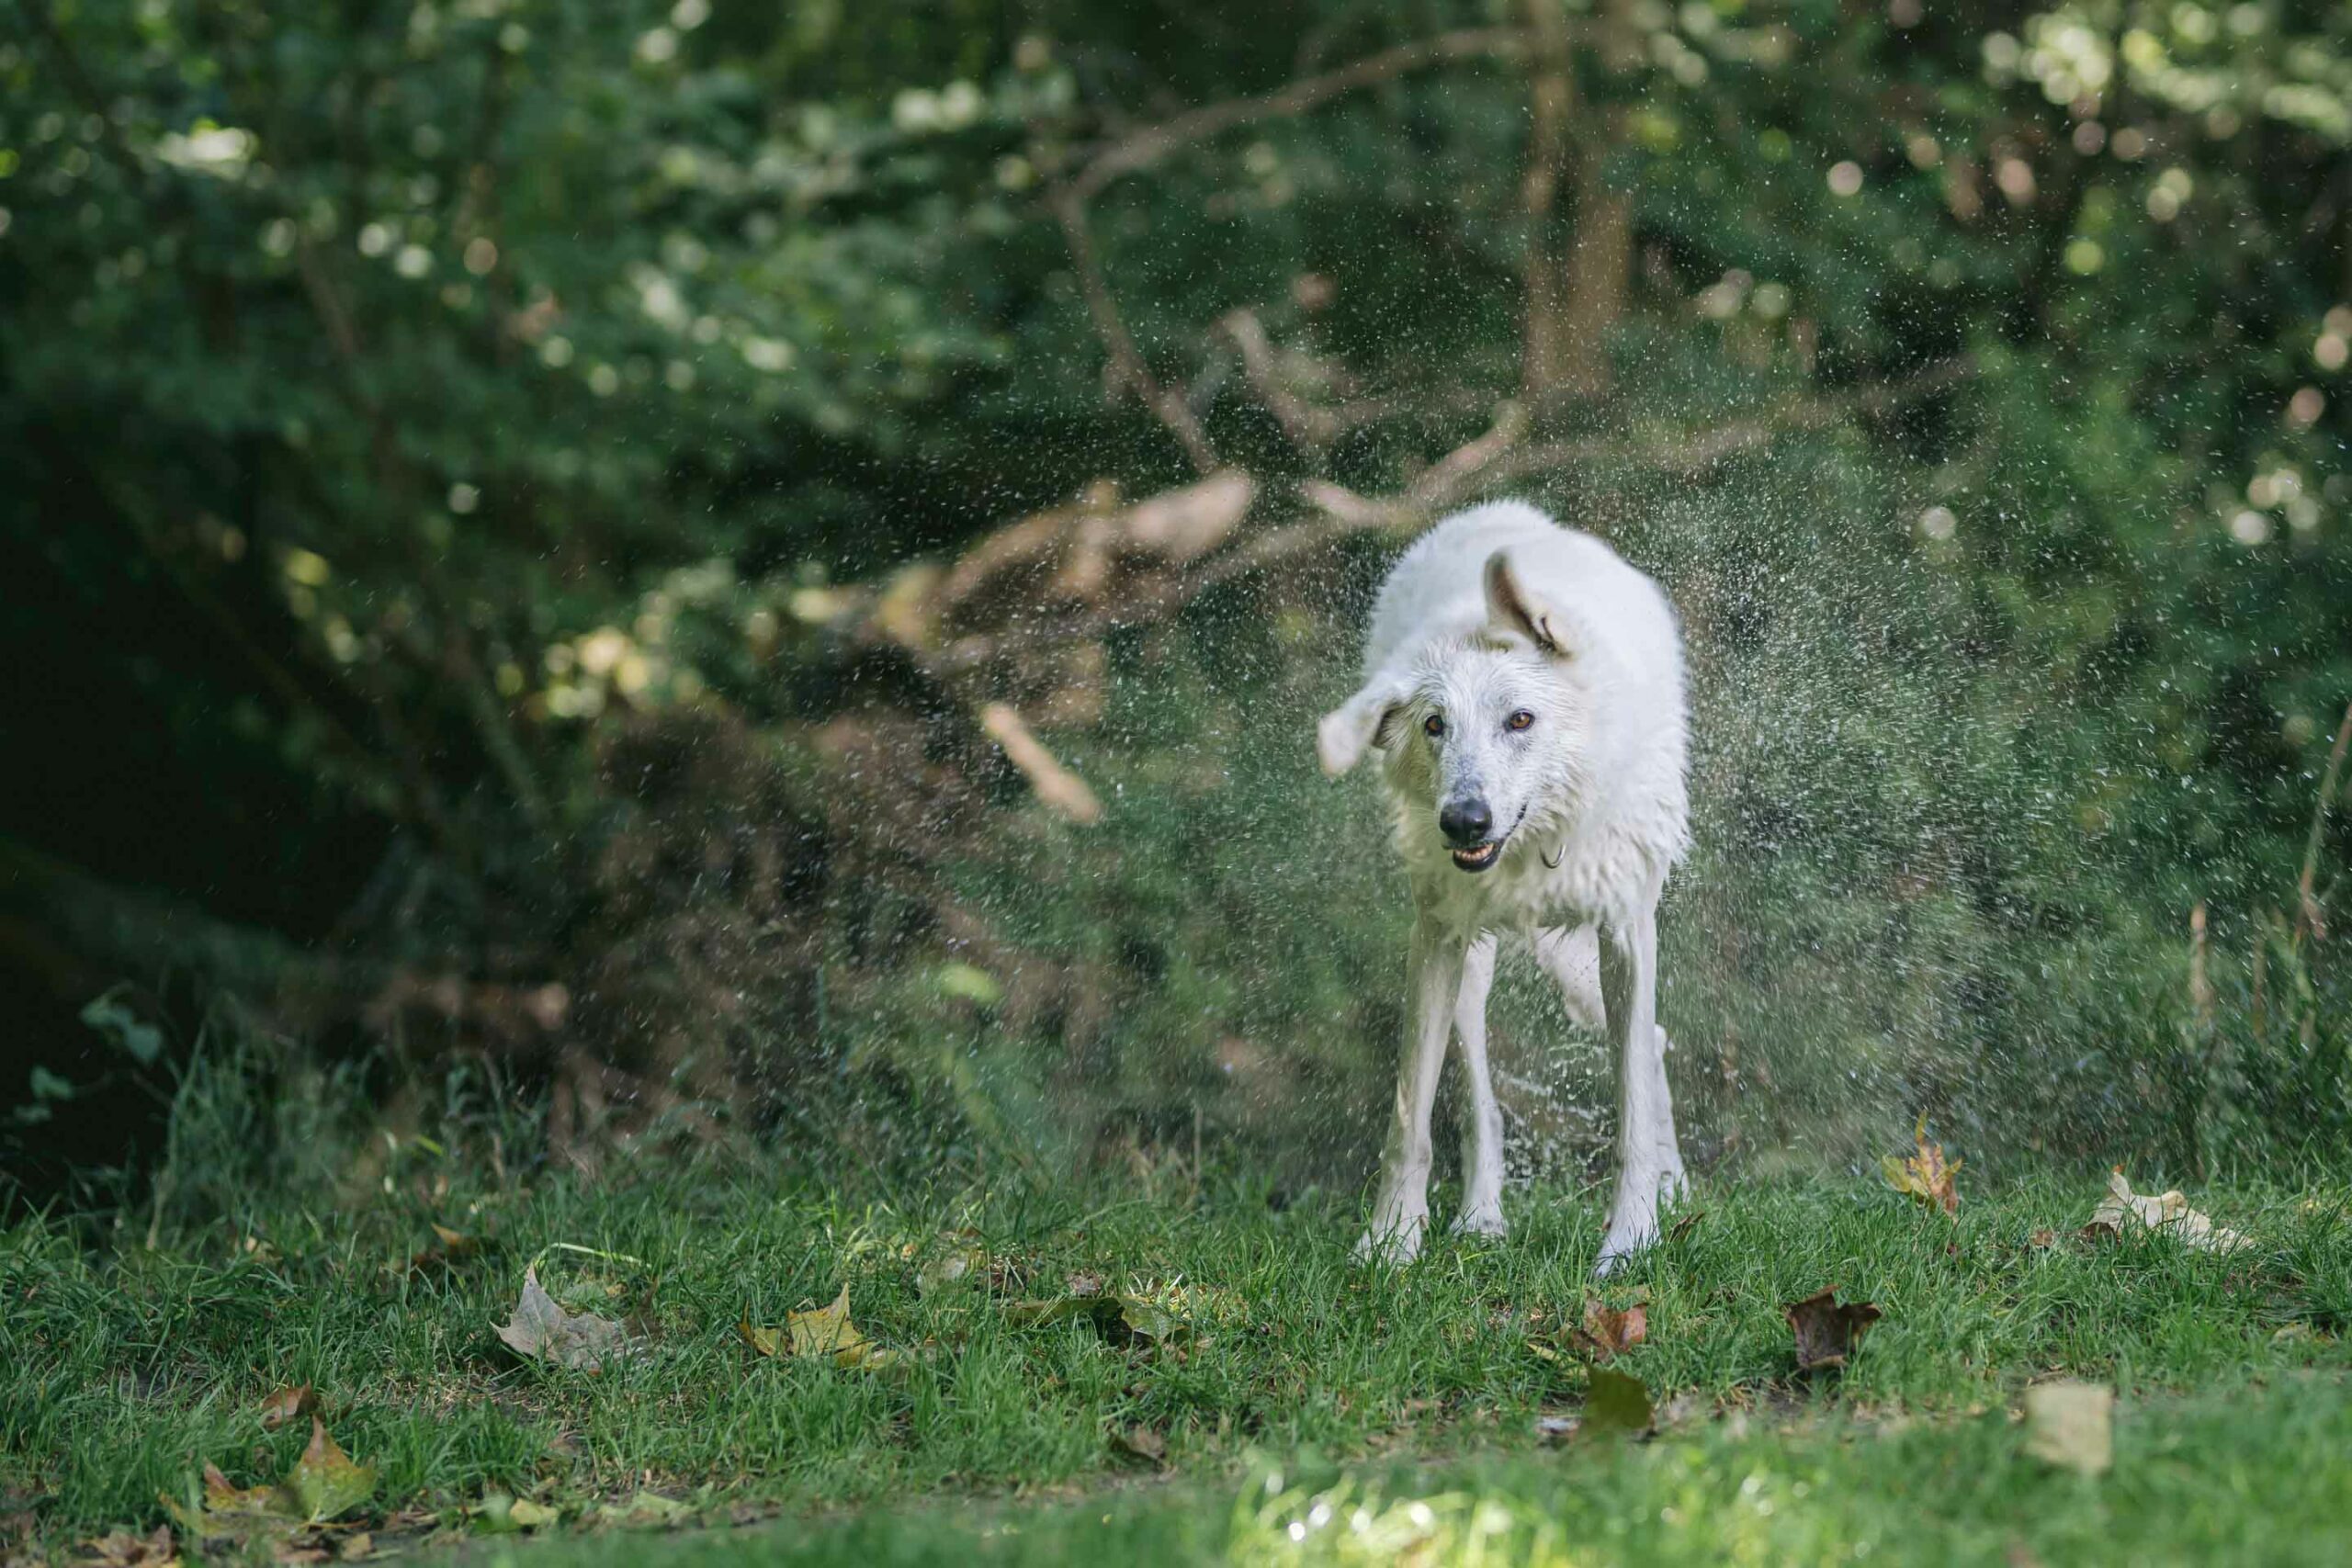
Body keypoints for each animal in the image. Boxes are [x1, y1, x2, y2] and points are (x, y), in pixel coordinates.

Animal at [1318, 500, 1690, 1271]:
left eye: (1520, 719)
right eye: (1435, 725)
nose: (1463, 820)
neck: (1534, 846)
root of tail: (1495, 512)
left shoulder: (1626, 933)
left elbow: (1631, 1108)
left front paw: (1629, 1243)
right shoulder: (1435, 939)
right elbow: (1410, 1117)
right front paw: (1390, 1242)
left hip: (1586, 971)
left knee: (1653, 1042)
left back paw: (1674, 1191)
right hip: (1473, 962)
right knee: (1481, 1101)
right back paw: (1481, 1218)